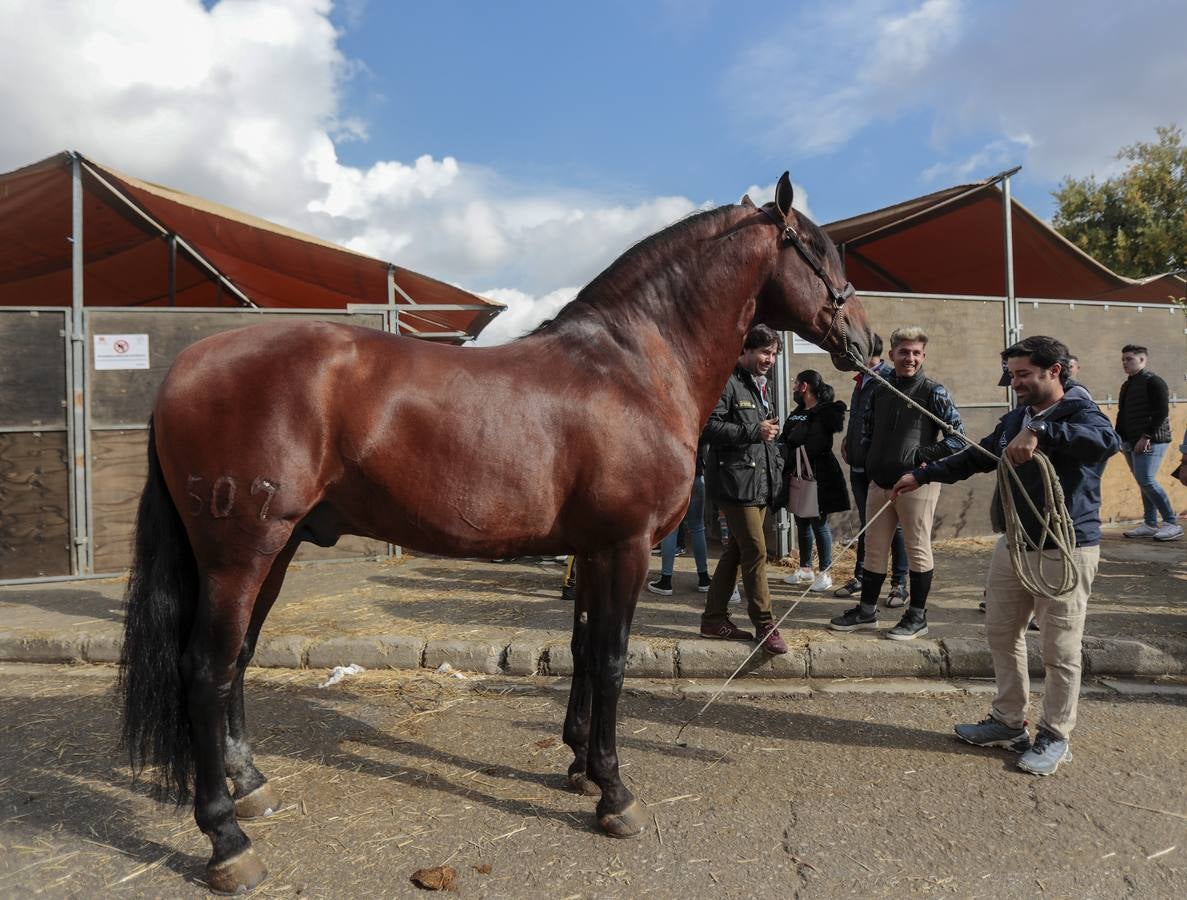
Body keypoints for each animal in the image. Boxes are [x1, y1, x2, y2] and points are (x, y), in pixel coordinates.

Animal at [118, 172, 873, 892]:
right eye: (820, 249)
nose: (864, 342)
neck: (631, 367)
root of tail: (184, 368)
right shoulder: (626, 545)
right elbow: (611, 659)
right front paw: (614, 794)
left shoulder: (593, 548)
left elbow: (582, 650)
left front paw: (578, 766)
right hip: (239, 554)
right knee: (205, 668)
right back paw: (227, 840)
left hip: (269, 553)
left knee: (238, 659)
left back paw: (251, 786)